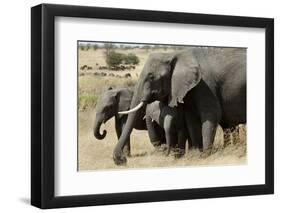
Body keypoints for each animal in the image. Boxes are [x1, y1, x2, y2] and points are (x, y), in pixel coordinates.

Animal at [114, 47, 245, 165]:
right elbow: (192, 120)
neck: (175, 54)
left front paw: (206, 156)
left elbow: (211, 115)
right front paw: (196, 155)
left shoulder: (206, 85)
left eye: (151, 77)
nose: (121, 160)